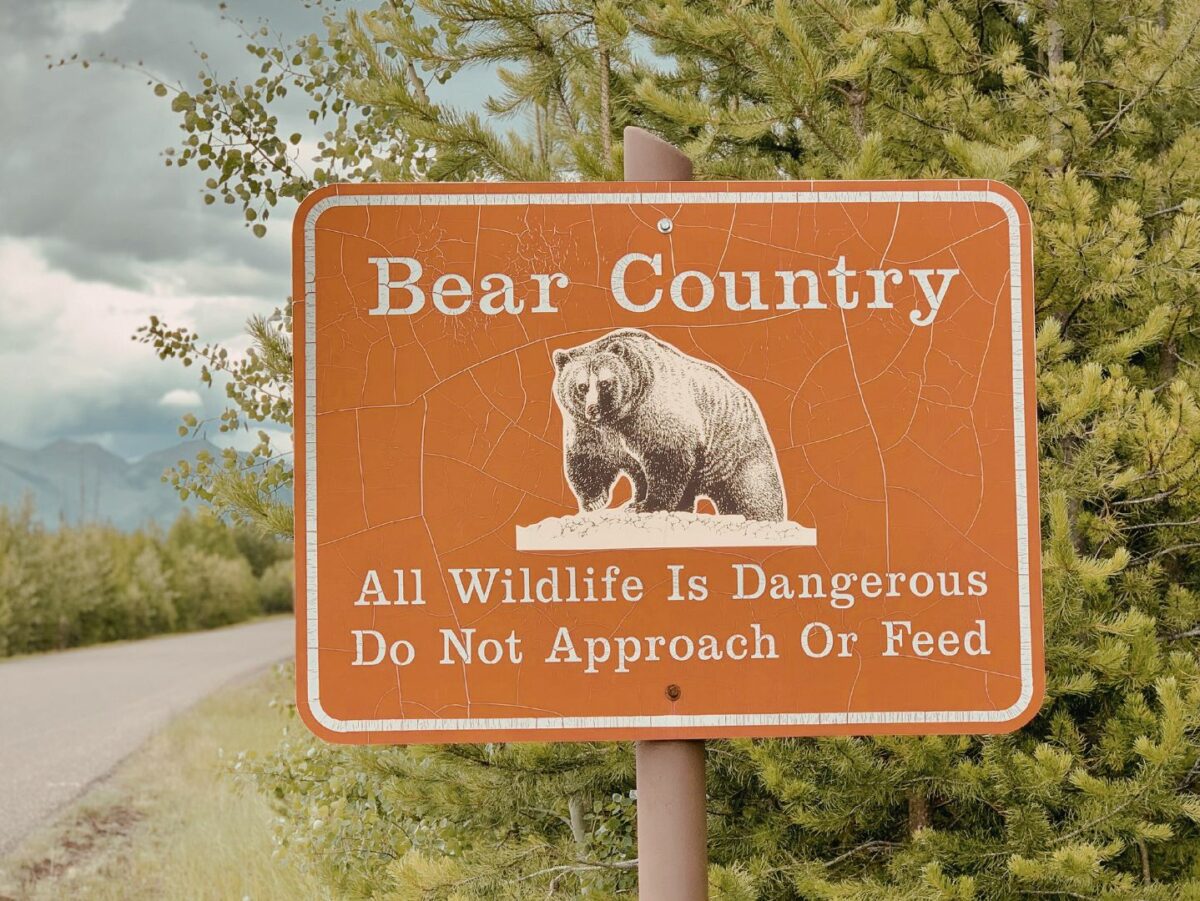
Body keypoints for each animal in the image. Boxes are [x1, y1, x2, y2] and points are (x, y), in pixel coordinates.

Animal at [551, 328, 786, 521]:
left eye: (604, 383)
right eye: (581, 386)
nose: (593, 409)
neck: (617, 419)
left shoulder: (655, 416)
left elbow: (667, 458)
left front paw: (649, 505)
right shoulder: (589, 429)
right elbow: (588, 457)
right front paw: (595, 500)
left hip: (733, 453)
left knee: (753, 493)